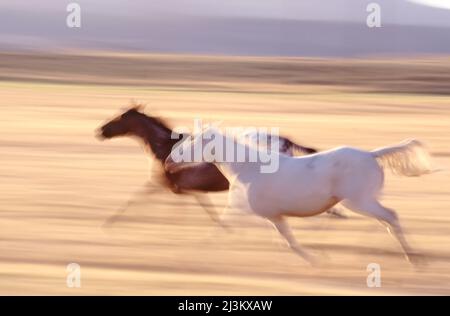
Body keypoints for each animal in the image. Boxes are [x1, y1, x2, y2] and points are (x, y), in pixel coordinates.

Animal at [96, 106, 338, 227]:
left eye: (119, 118)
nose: (100, 131)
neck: (165, 148)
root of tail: (285, 141)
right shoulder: (186, 190)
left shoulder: (170, 186)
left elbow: (134, 200)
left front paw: (108, 222)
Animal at [166, 126, 436, 264]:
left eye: (192, 143)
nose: (169, 161)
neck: (248, 168)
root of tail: (372, 155)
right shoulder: (273, 216)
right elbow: (289, 241)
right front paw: (317, 258)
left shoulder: (241, 209)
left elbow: (219, 230)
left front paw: (191, 253)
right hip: (363, 201)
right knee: (386, 221)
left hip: (359, 201)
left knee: (391, 217)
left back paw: (412, 257)